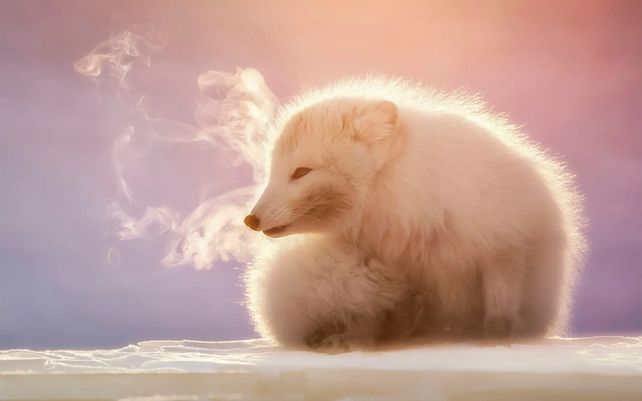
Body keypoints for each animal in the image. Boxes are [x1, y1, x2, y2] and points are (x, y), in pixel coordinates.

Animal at [243, 75, 586, 350]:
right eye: (272, 170)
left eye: (301, 172)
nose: (250, 219)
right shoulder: (391, 268)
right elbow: (372, 315)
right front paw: (355, 338)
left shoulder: (505, 241)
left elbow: (501, 298)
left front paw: (496, 336)